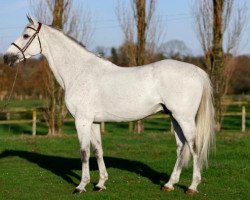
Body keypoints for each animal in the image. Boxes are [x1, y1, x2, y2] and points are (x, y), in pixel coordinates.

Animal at [3, 16, 215, 195]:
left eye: (26, 35)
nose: (6, 57)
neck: (79, 72)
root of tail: (197, 71)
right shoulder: (94, 122)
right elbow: (98, 151)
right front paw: (100, 183)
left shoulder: (82, 121)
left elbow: (84, 152)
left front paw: (81, 186)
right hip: (174, 117)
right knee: (181, 147)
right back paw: (169, 184)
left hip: (184, 118)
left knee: (194, 147)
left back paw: (192, 187)